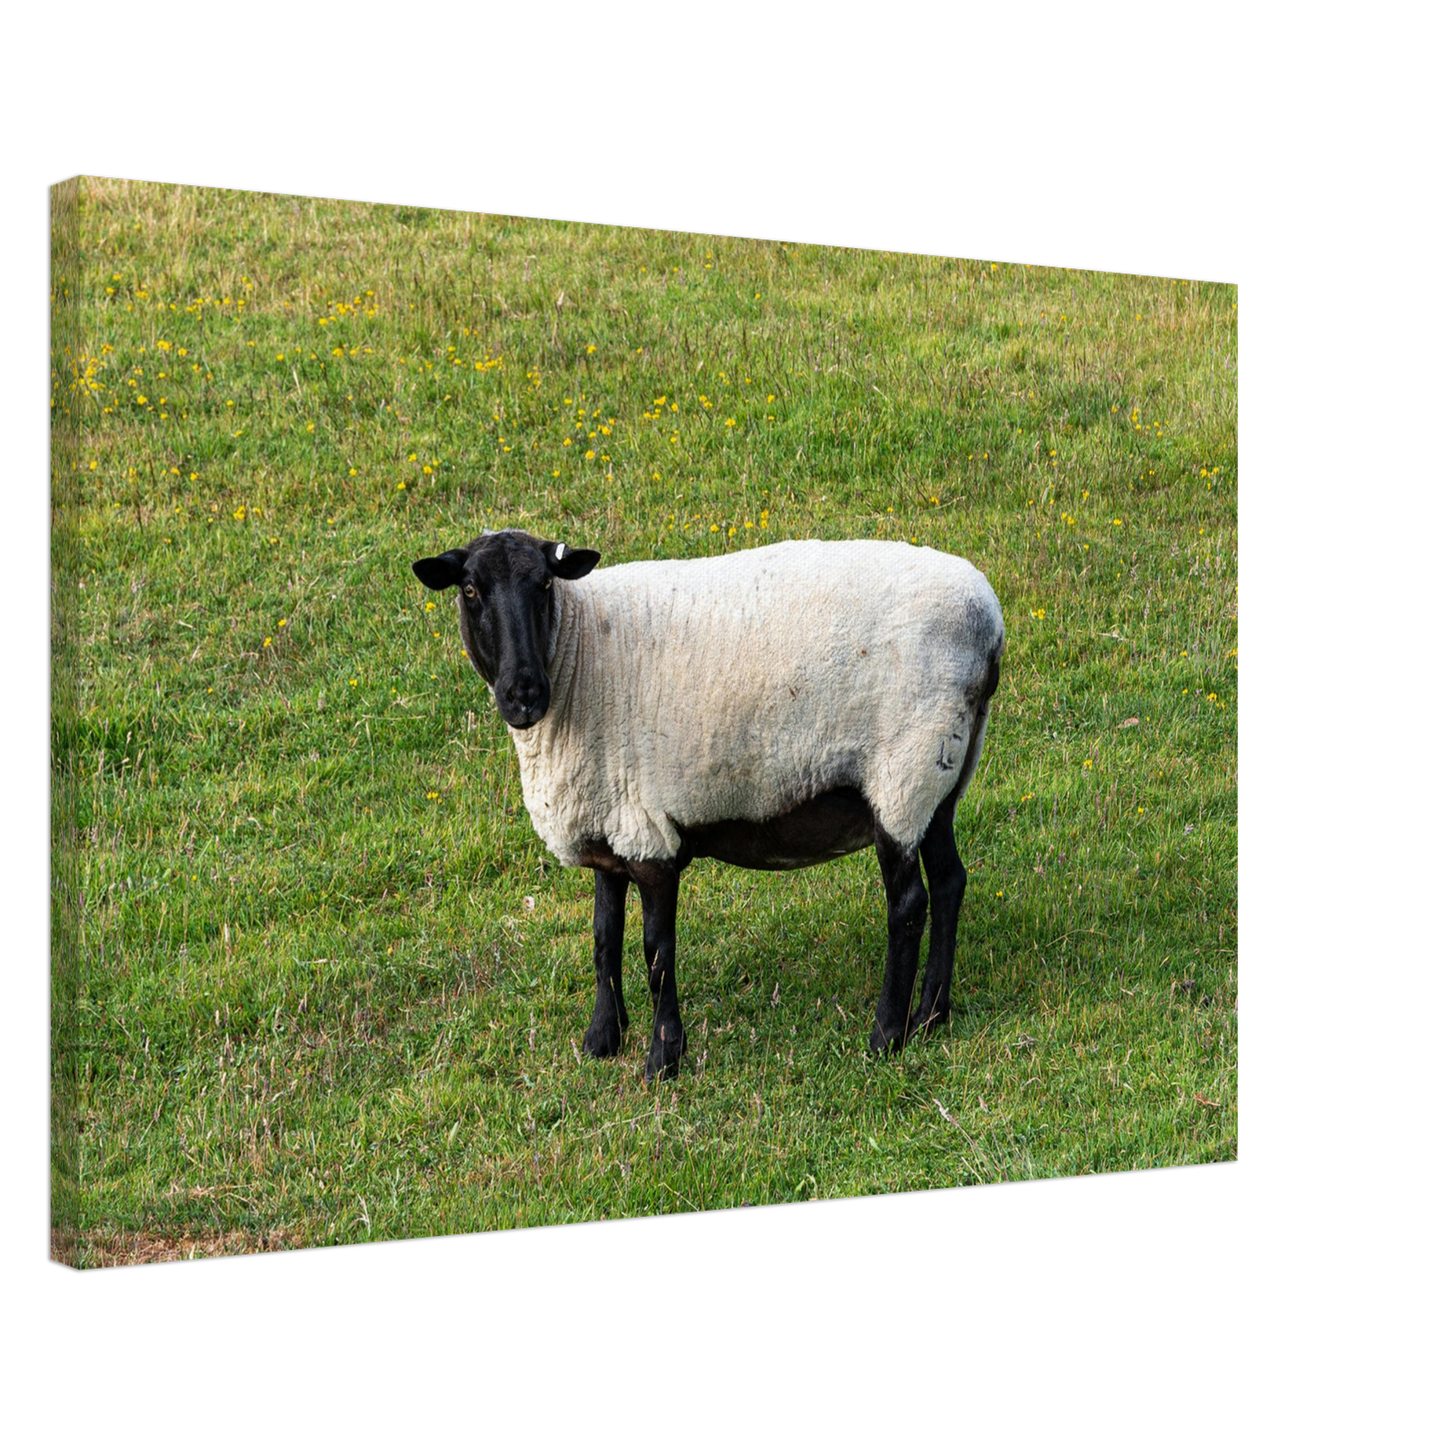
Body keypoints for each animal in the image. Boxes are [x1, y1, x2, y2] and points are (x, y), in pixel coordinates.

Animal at [412, 528, 1004, 1081]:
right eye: (470, 590)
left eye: (543, 585)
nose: (524, 694)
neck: (582, 653)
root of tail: (990, 625)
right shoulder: (609, 824)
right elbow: (604, 939)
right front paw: (602, 1039)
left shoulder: (648, 836)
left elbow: (656, 951)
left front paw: (663, 1058)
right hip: (940, 773)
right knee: (950, 882)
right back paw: (932, 1016)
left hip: (904, 772)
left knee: (908, 905)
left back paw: (886, 1036)